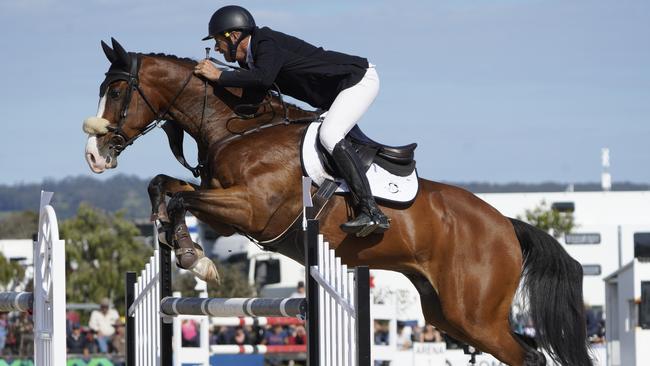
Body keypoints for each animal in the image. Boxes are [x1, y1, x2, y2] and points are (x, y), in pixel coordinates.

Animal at [83, 38, 588, 364]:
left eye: (118, 90)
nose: (93, 154)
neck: (238, 128)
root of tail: (506, 224)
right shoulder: (228, 216)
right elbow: (165, 187)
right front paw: (180, 243)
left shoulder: (254, 210)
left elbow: (179, 198)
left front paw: (192, 257)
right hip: (448, 315)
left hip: (475, 314)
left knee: (528, 357)